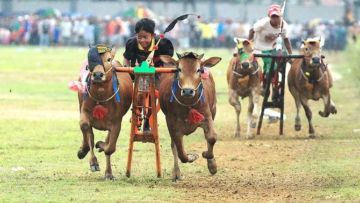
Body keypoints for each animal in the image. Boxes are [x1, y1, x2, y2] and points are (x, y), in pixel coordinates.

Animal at [77, 44, 132, 179]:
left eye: (108, 59)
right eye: (90, 58)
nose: (97, 75)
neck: (101, 97)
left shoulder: (116, 123)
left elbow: (110, 147)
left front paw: (100, 145)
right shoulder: (84, 112)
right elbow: (87, 131)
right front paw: (91, 160)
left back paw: (108, 173)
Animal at [159, 52, 221, 181]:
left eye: (198, 70)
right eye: (179, 69)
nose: (188, 91)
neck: (188, 104)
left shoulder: (207, 116)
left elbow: (211, 138)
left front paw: (210, 161)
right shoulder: (172, 124)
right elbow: (180, 152)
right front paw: (192, 156)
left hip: (213, 109)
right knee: (174, 146)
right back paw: (176, 173)